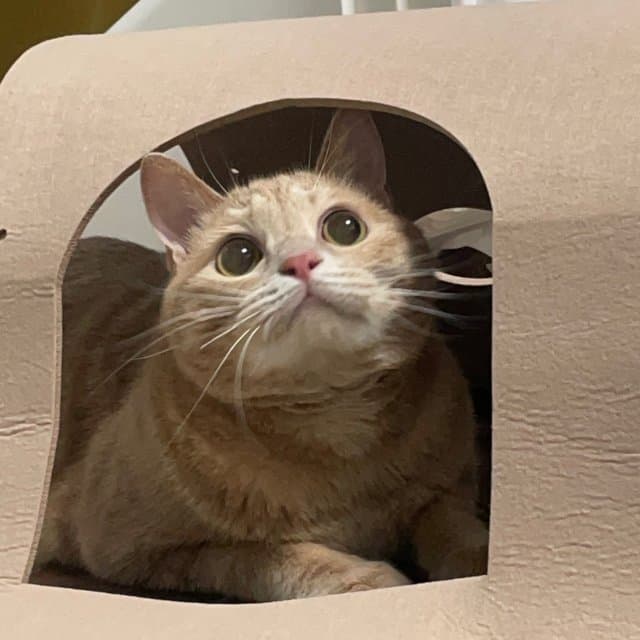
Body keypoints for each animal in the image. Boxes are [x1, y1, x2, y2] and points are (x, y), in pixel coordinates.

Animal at [35, 109, 488, 601]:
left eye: (344, 227)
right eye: (238, 255)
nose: (300, 261)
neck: (336, 430)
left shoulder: (451, 490)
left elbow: (455, 526)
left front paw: (481, 559)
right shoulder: (137, 550)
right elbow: (271, 555)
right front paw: (366, 577)